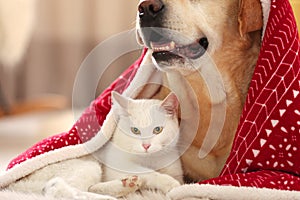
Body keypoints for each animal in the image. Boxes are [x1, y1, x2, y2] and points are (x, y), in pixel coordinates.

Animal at [7, 92, 183, 198]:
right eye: (135, 130)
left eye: (158, 129)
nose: (146, 146)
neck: (151, 160)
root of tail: (20, 182)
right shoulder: (119, 165)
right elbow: (152, 174)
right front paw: (172, 185)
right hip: (87, 165)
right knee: (60, 189)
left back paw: (126, 185)